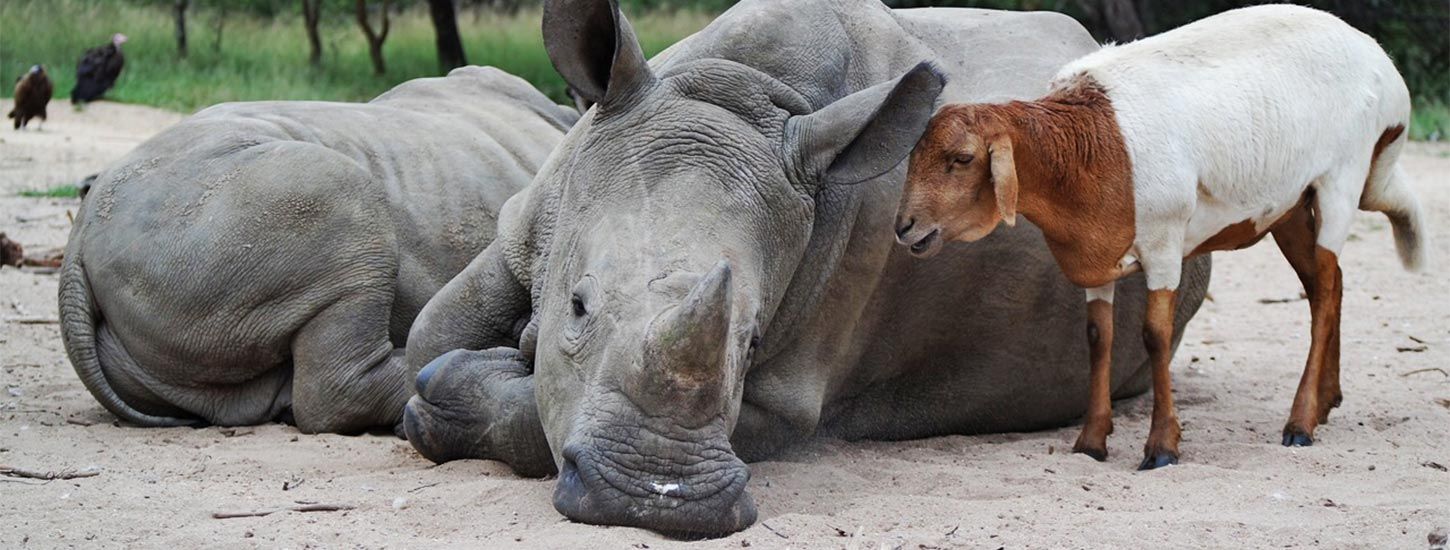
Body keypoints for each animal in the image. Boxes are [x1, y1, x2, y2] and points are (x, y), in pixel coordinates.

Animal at [403, 0, 1218, 536]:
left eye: (755, 341)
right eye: (576, 305)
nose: (655, 502)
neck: (739, 87)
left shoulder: (791, 391)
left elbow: (517, 408)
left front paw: (454, 394)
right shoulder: (526, 226)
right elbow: (431, 335)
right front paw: (470, 372)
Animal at [893, 3, 1426, 470]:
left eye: (962, 159)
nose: (904, 227)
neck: (1089, 145)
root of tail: (1382, 62)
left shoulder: (1165, 242)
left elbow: (1155, 336)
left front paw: (1162, 447)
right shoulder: (1096, 253)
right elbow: (1098, 337)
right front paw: (1091, 442)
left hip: (1342, 178)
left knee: (1327, 290)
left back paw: (1300, 423)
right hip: (1291, 205)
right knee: (1325, 288)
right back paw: (1326, 401)